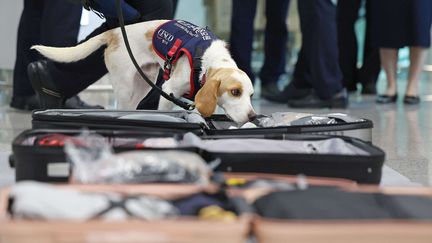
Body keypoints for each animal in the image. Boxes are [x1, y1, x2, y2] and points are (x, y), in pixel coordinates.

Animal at [33, 19, 258, 123]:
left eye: (251, 95)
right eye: (235, 92)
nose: (253, 117)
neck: (207, 60)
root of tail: (115, 32)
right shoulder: (169, 90)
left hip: (143, 84)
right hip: (125, 87)